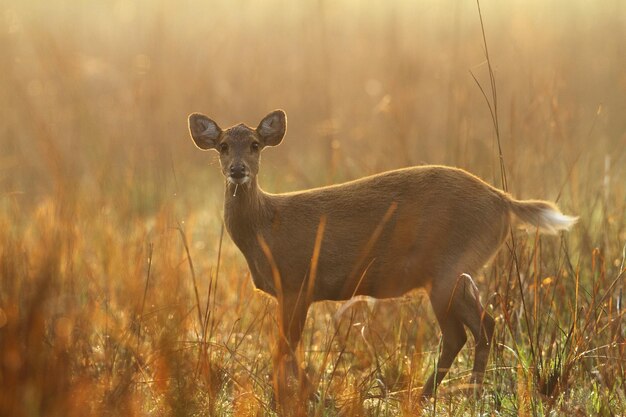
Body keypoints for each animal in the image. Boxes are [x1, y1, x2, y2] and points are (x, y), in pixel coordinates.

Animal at [185, 109, 576, 398]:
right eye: (222, 146)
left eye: (254, 144)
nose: (238, 170)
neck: (266, 228)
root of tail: (503, 201)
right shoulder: (290, 291)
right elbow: (285, 347)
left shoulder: (298, 283)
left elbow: (285, 346)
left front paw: (303, 395)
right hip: (456, 273)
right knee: (483, 326)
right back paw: (444, 394)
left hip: (449, 267)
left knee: (465, 332)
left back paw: (456, 394)